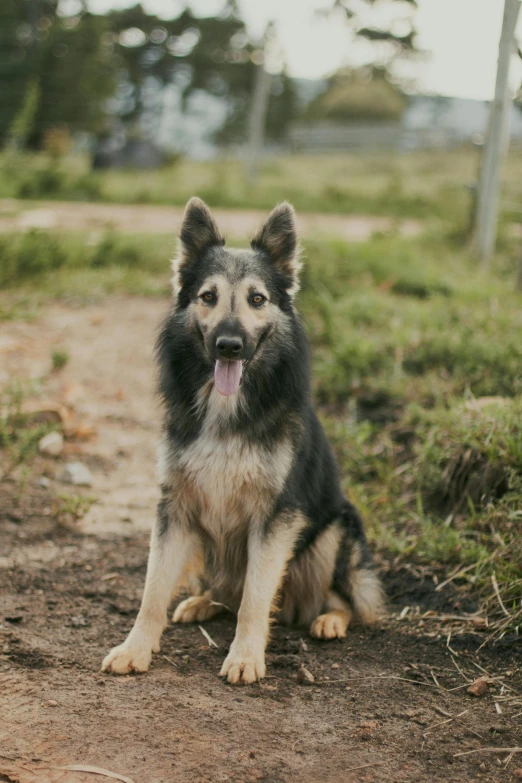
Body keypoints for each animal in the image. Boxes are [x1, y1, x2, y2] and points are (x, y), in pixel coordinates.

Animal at [101, 198, 380, 688]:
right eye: (208, 297)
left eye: (257, 299)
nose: (228, 345)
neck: (226, 409)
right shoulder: (176, 508)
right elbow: (152, 590)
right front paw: (135, 648)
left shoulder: (275, 517)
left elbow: (255, 597)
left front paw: (246, 657)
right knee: (223, 592)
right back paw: (203, 602)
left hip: (333, 530)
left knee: (343, 597)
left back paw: (329, 619)